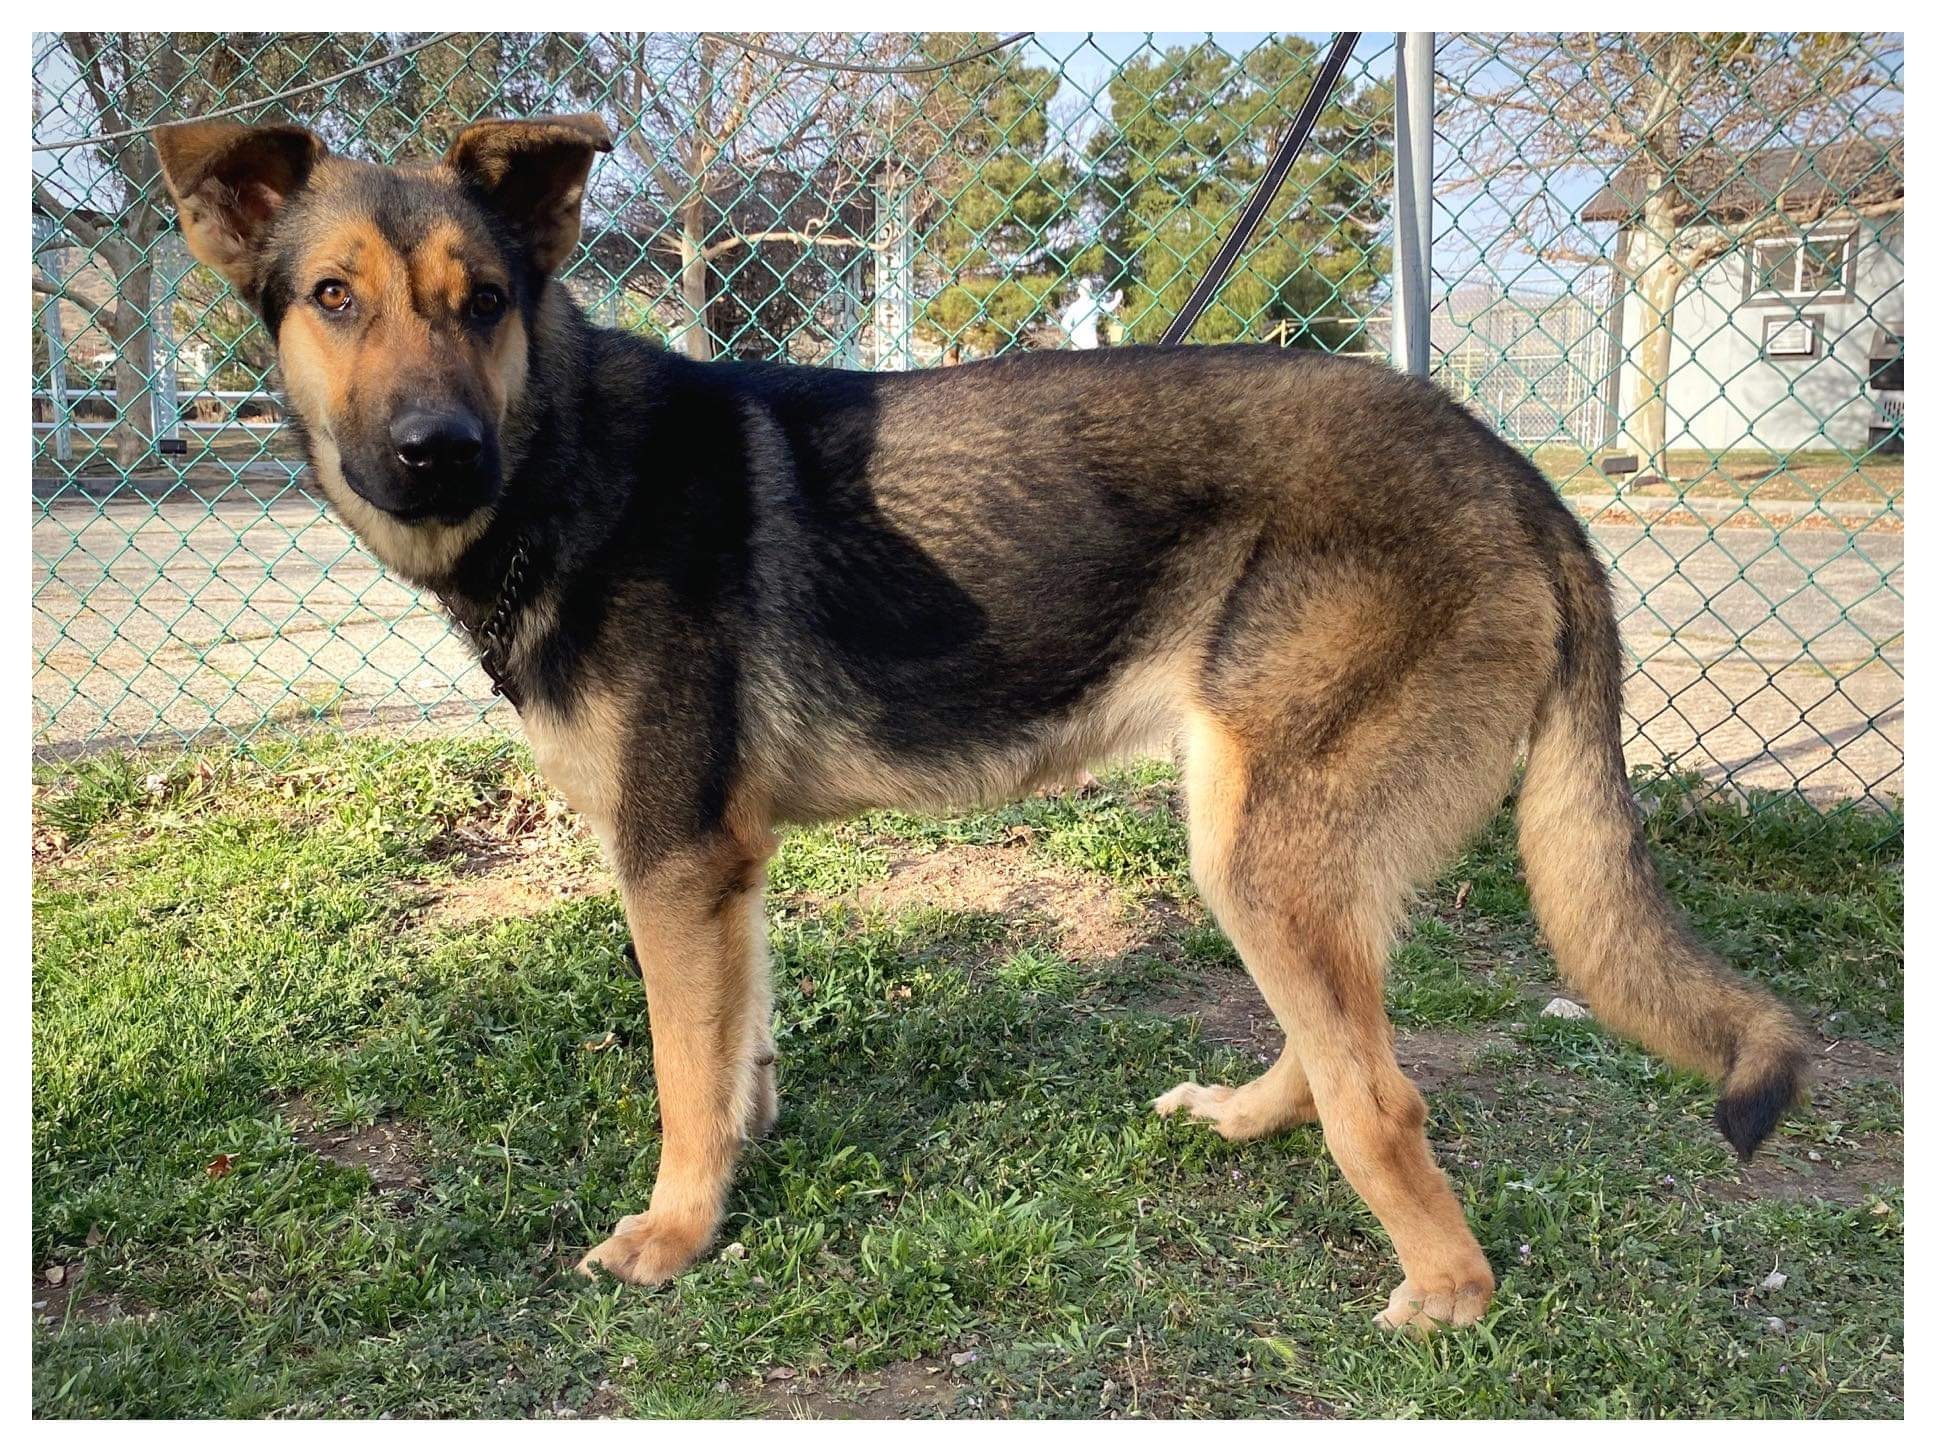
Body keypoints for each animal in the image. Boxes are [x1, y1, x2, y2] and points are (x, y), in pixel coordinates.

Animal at [154, 113, 1812, 1339]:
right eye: (334, 299)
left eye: (483, 301)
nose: (437, 451)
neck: (566, 457)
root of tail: (1517, 474)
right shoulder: (725, 876)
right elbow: (736, 1055)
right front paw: (736, 1172)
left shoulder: (672, 862)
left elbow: (683, 1077)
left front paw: (676, 1233)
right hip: (1277, 838)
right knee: (1343, 1042)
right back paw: (1250, 1117)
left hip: (1256, 844)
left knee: (1385, 1098)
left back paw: (1444, 1293)